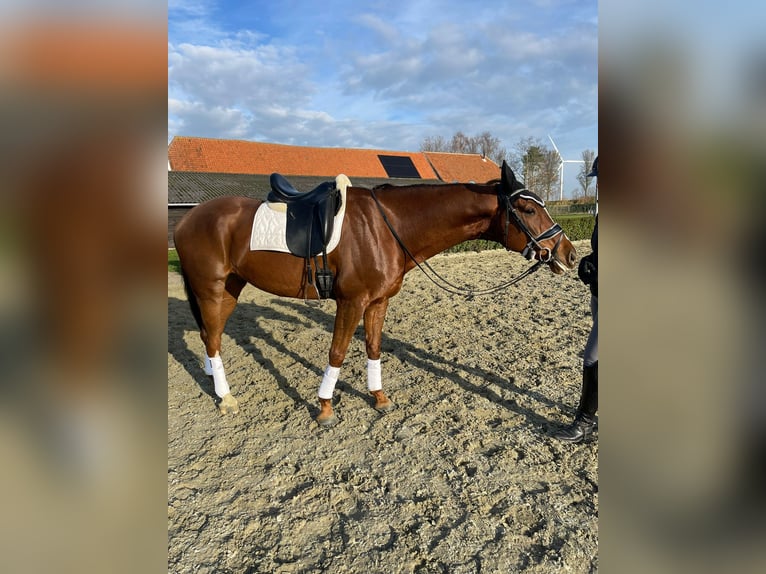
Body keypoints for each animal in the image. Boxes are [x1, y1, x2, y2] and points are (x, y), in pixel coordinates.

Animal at [173, 161, 578, 426]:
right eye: (528, 208)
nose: (569, 254)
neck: (388, 227)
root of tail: (187, 219)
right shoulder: (351, 301)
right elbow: (337, 352)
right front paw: (325, 407)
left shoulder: (378, 302)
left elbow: (373, 348)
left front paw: (378, 397)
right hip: (211, 289)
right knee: (212, 338)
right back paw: (226, 398)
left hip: (230, 288)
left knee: (211, 335)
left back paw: (213, 381)